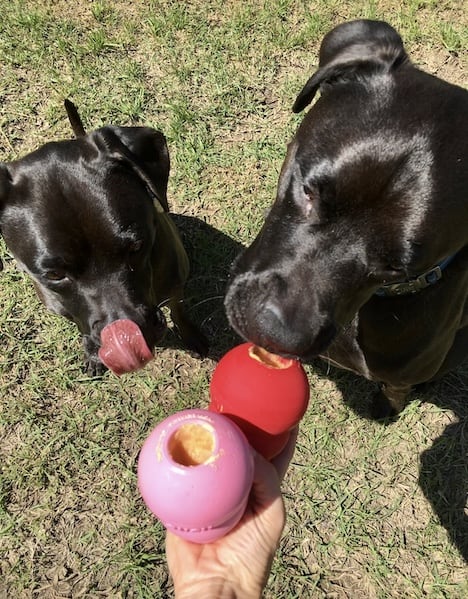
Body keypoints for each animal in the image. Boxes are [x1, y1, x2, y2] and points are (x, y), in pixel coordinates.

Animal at [0, 102, 208, 376]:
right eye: (54, 275)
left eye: (137, 247)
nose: (136, 332)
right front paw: (92, 354)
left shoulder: (175, 282)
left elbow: (178, 310)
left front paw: (191, 335)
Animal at [225, 21, 466, 420]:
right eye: (307, 190)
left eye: (397, 268)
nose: (273, 333)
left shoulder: (403, 373)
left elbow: (396, 390)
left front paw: (386, 408)